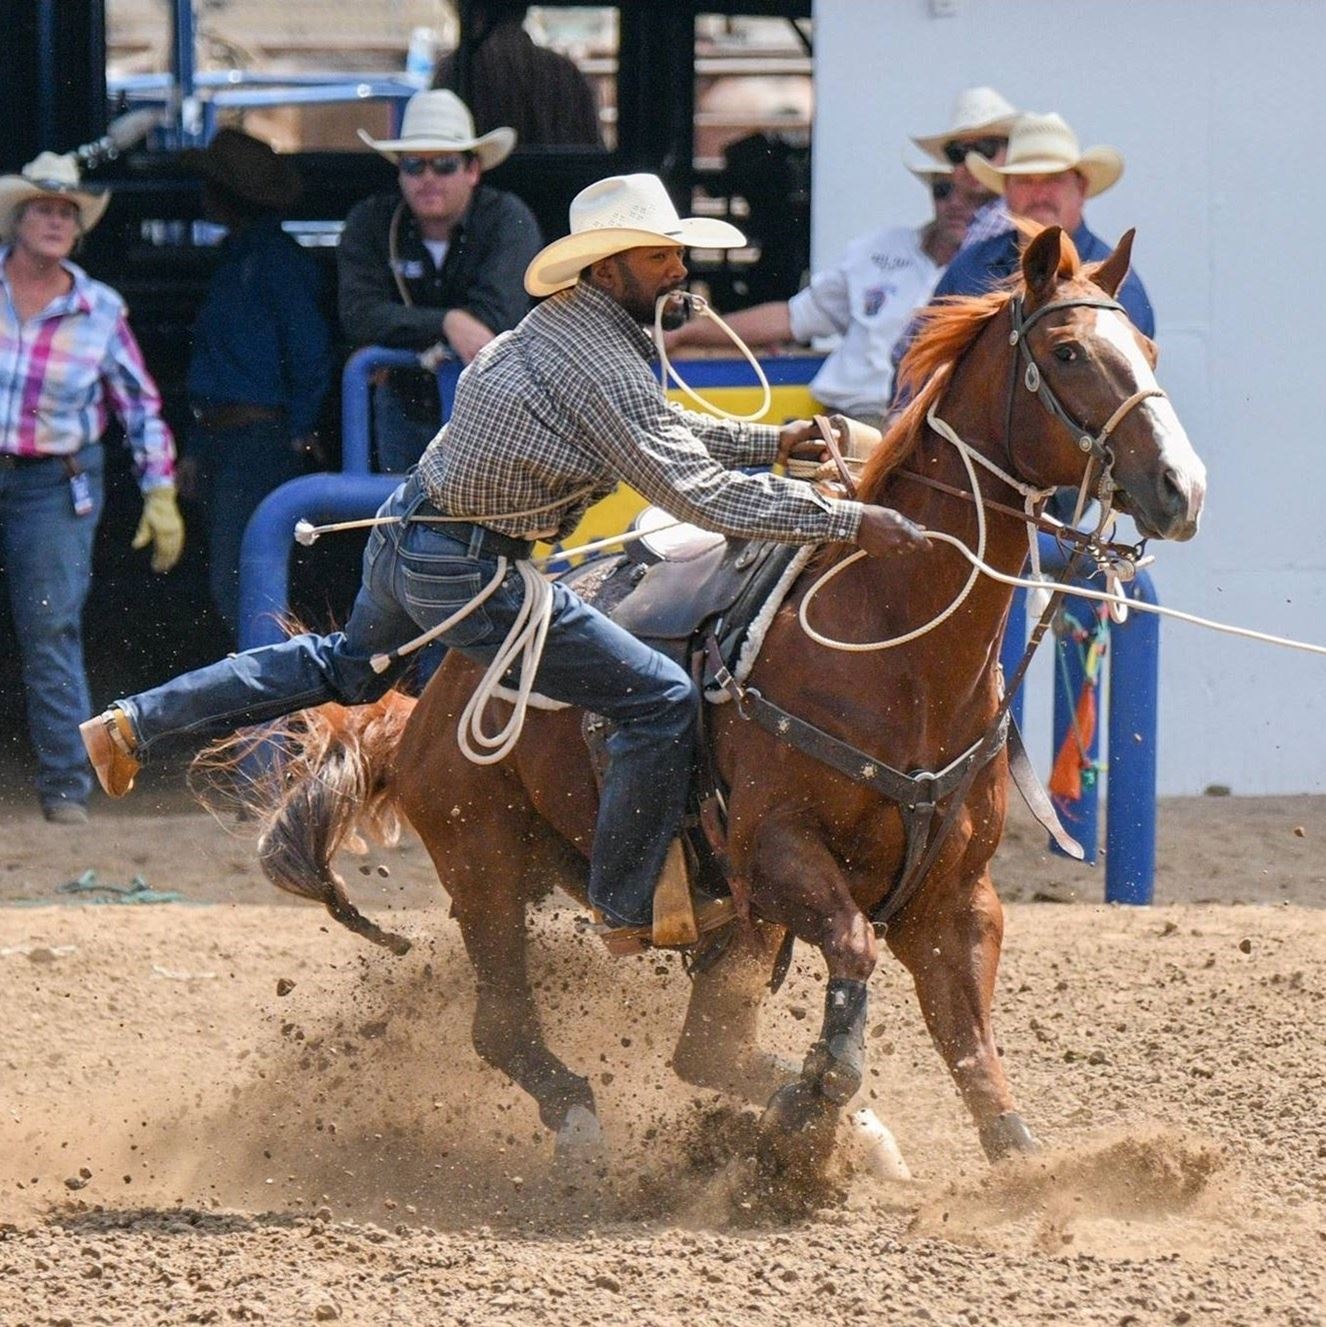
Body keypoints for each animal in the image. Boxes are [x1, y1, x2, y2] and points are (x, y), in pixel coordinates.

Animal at [253, 230, 1210, 1173]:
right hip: (486, 864)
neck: (898, 656)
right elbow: (854, 954)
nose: (1182, 487)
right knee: (507, 1028)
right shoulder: (777, 853)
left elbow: (976, 1058)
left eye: (1149, 346)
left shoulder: (956, 899)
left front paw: (1025, 1170)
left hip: (706, 916)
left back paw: (861, 1138)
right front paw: (813, 1106)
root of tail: (422, 707)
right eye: (1068, 350)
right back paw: (593, 1127)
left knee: (701, 1049)